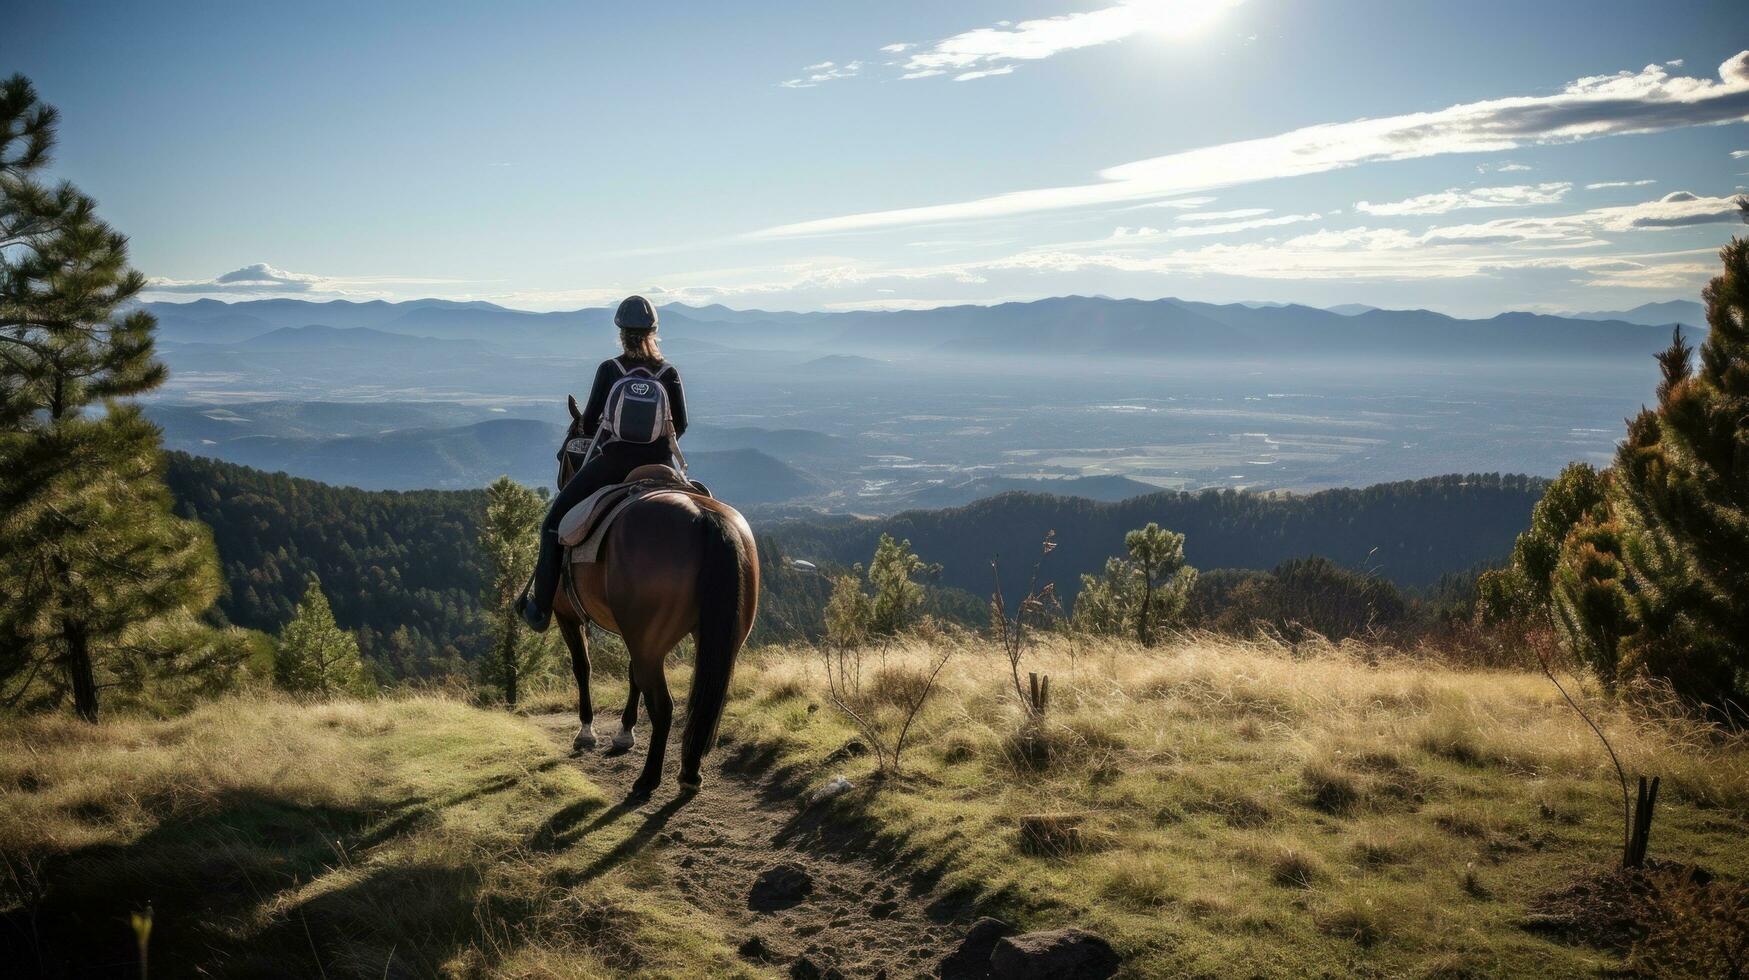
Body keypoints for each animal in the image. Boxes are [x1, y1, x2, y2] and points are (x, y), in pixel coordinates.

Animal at [552, 393, 759, 801]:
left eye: (562, 454)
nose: (560, 480)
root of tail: (706, 518)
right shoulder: (632, 631)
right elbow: (631, 675)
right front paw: (624, 732)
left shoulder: (568, 616)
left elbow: (583, 667)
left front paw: (587, 731)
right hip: (718, 639)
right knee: (704, 701)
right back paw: (690, 772)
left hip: (649, 638)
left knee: (663, 706)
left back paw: (648, 779)